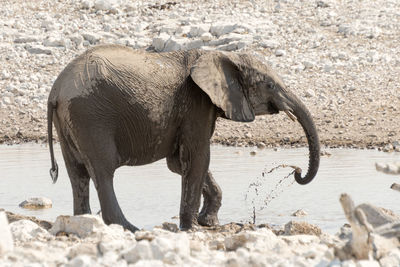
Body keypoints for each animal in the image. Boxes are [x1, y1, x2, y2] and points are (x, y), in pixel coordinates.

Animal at [47, 44, 322, 232]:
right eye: (270, 86)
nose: (296, 171)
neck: (219, 55)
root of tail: (56, 90)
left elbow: (179, 163)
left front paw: (209, 222)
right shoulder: (195, 105)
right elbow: (198, 157)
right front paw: (193, 228)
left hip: (70, 122)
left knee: (77, 175)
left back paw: (84, 221)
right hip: (91, 118)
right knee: (103, 173)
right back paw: (130, 228)